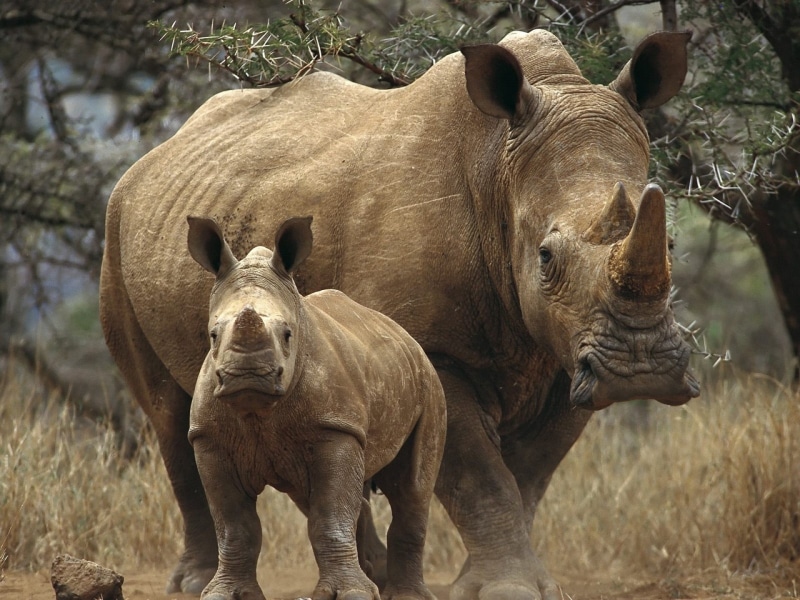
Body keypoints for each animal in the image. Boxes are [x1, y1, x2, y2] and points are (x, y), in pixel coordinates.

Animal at [185, 215, 445, 600]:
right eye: (213, 335)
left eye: (288, 334)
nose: (248, 375)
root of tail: (405, 336)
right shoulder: (209, 439)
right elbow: (235, 528)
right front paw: (223, 594)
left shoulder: (335, 427)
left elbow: (330, 517)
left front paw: (351, 594)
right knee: (315, 497)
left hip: (430, 383)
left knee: (411, 488)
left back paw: (404, 594)